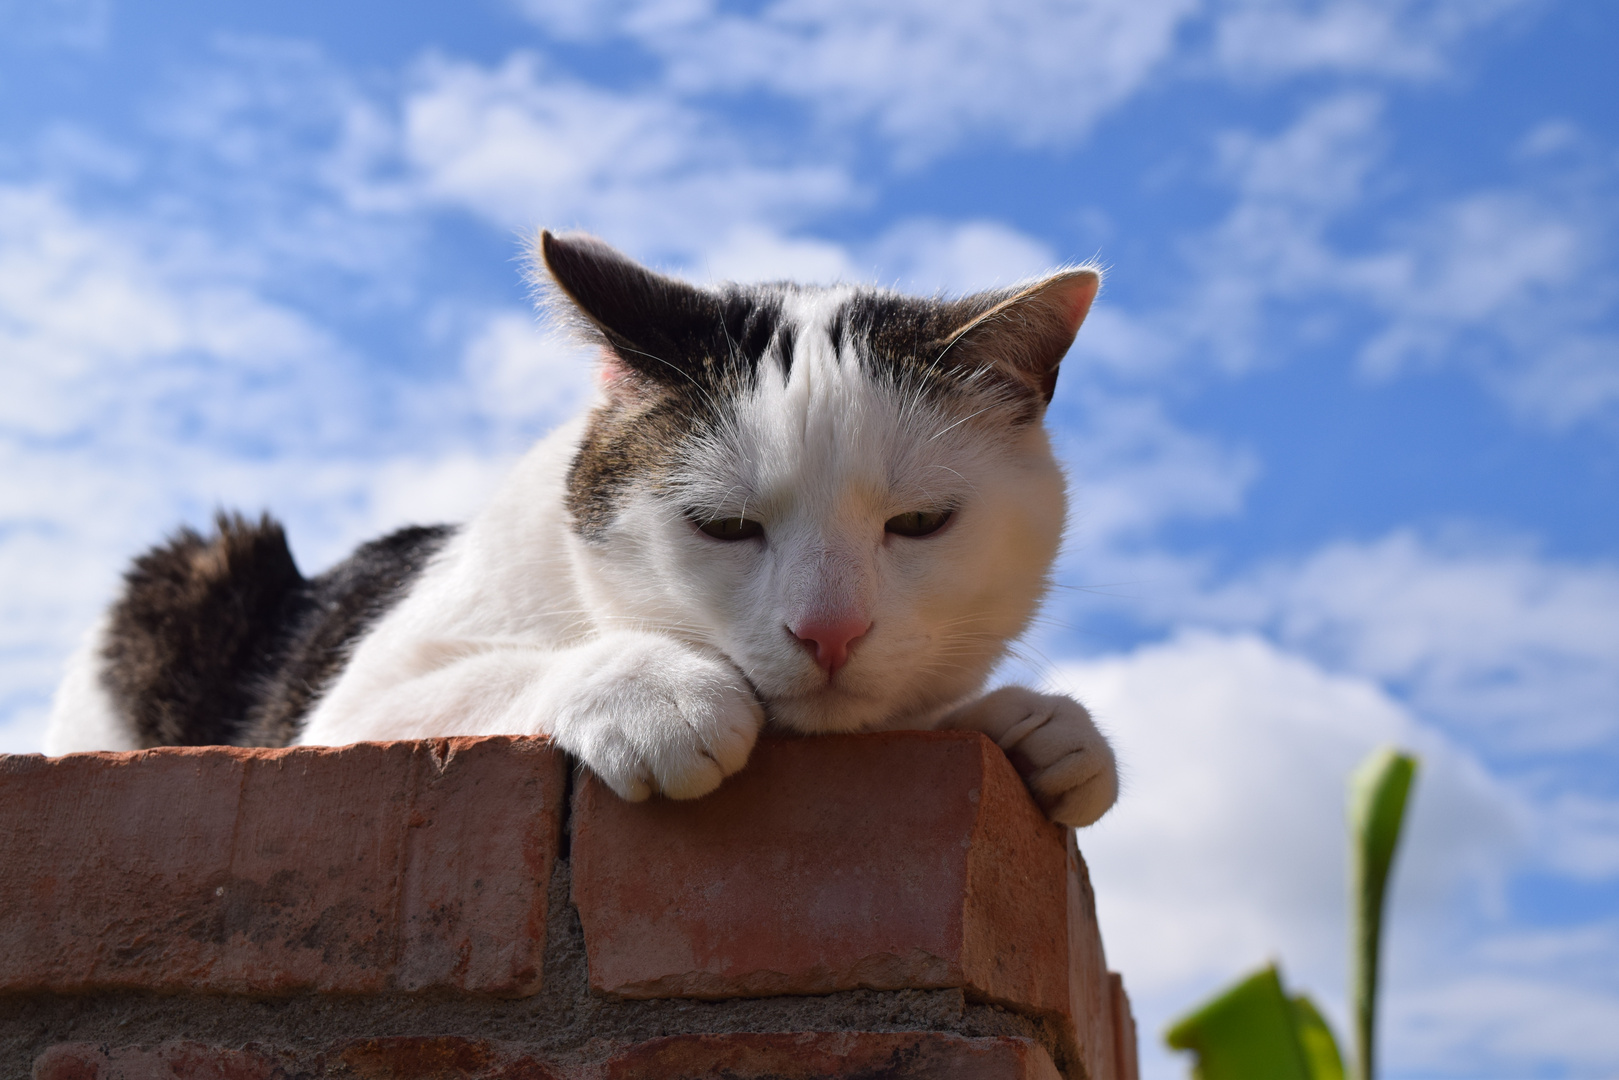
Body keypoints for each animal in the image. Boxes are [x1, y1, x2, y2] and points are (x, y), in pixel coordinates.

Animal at [44, 233, 1120, 829]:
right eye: (722, 527)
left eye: (920, 524)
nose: (829, 632)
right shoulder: (346, 716)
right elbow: (507, 670)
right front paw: (659, 691)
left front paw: (1036, 725)